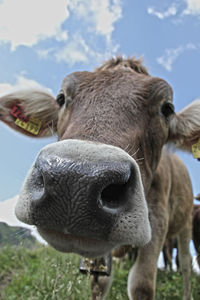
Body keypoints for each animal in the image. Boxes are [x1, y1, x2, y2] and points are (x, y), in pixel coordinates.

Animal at [0, 55, 199, 298]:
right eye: (61, 98)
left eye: (167, 108)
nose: (75, 180)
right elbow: (99, 284)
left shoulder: (159, 218)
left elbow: (141, 284)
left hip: (185, 221)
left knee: (186, 263)